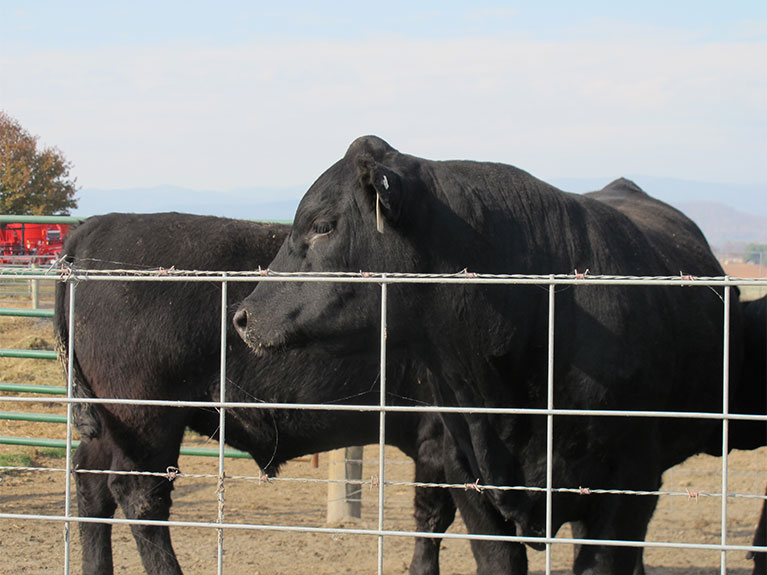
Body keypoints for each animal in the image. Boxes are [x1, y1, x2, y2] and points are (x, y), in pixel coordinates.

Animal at [57, 214, 460, 575]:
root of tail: (95, 226)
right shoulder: (439, 439)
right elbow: (434, 519)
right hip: (149, 417)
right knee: (139, 493)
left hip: (110, 424)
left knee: (91, 480)